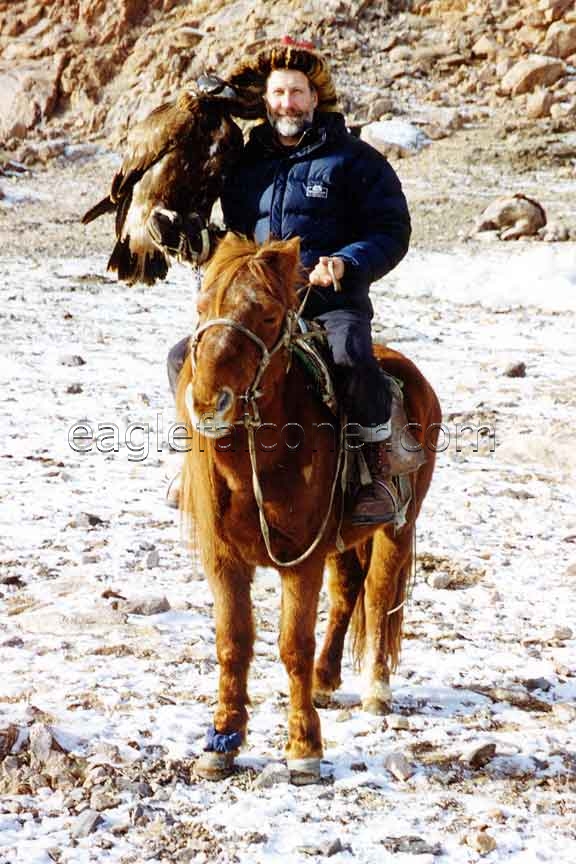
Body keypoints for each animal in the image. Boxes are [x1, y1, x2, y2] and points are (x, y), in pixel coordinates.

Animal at [176, 233, 440, 780]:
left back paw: (375, 690)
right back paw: (326, 678)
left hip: (397, 530)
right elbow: (232, 642)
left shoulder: (301, 561)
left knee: (377, 597)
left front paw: (304, 748)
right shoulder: (224, 561)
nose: (210, 404)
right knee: (345, 595)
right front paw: (222, 740)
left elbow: (293, 645)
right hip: (341, 542)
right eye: (202, 306)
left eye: (269, 315)